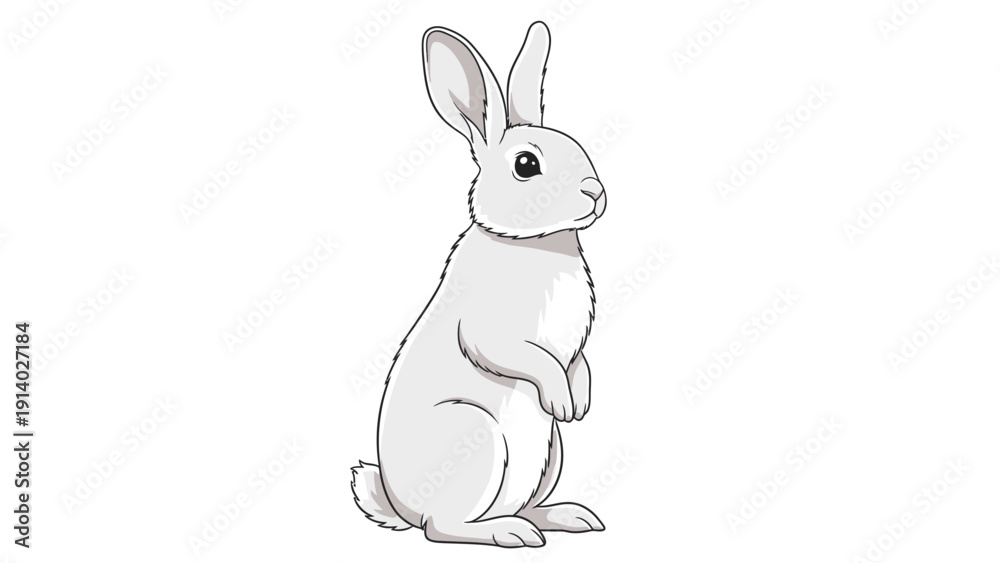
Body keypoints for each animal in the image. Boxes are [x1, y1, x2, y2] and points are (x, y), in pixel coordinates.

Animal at [351, 21, 607, 548]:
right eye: (526, 165)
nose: (595, 192)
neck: (537, 244)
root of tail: (401, 507)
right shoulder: (493, 333)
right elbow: (527, 359)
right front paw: (562, 399)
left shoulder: (575, 345)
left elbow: (580, 363)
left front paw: (580, 404)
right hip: (477, 435)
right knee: (441, 528)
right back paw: (511, 534)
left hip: (551, 454)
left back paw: (566, 517)